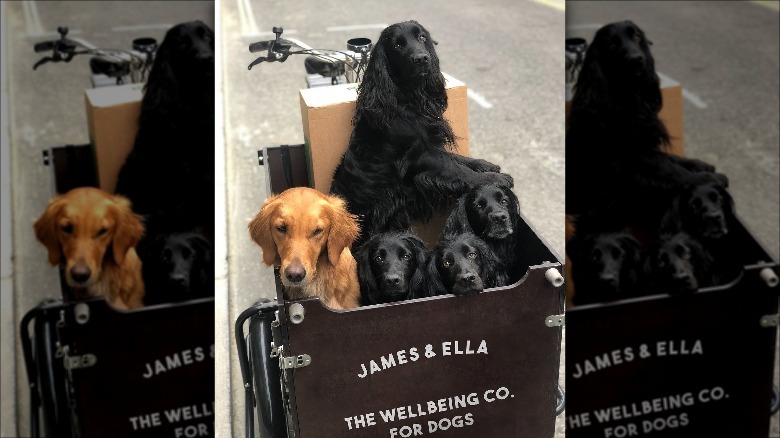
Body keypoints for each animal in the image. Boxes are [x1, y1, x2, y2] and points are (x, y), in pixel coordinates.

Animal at [330, 20, 512, 243]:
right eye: (397, 45)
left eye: (422, 38)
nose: (422, 59)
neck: (408, 99)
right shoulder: (421, 156)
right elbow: (457, 169)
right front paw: (493, 179)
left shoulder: (432, 145)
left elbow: (458, 159)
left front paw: (484, 164)